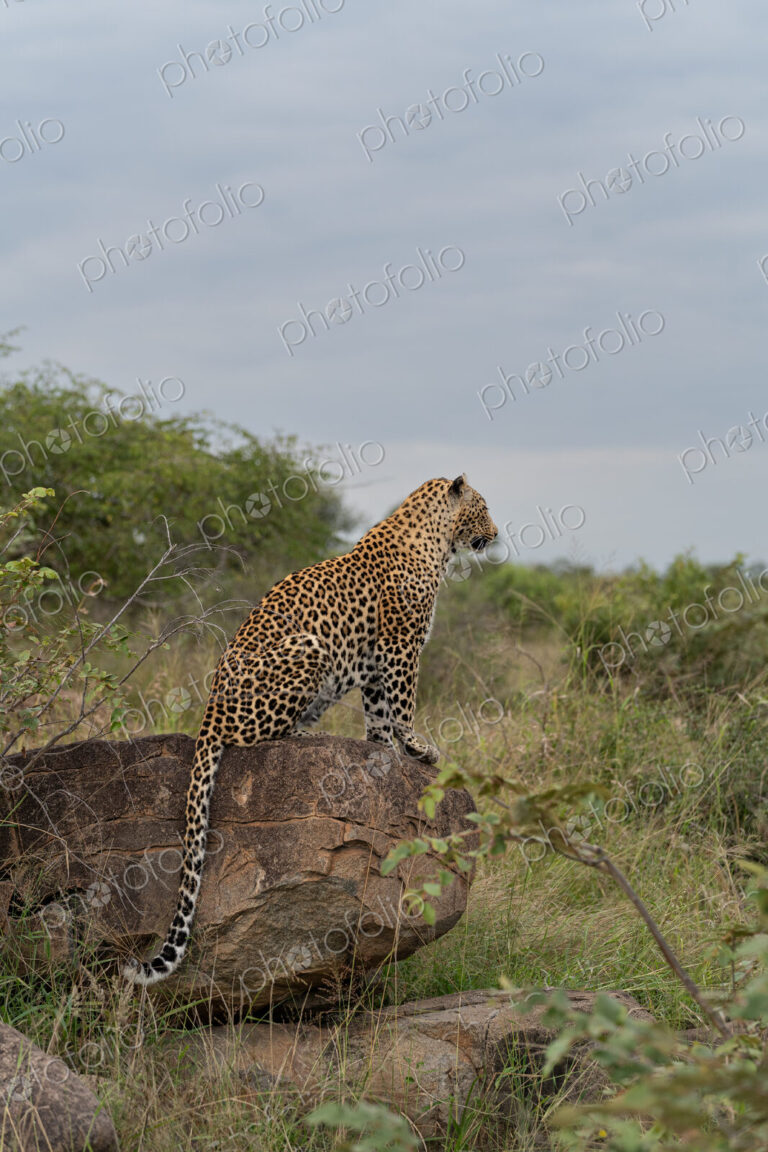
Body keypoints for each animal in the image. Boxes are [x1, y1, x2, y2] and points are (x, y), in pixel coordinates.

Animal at [123, 474, 497, 985]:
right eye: (483, 507)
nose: (496, 534)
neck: (433, 540)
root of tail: (209, 710)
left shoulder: (376, 662)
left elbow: (379, 715)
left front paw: (385, 749)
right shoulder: (401, 646)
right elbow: (403, 704)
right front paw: (418, 747)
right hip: (310, 647)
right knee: (252, 737)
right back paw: (309, 737)